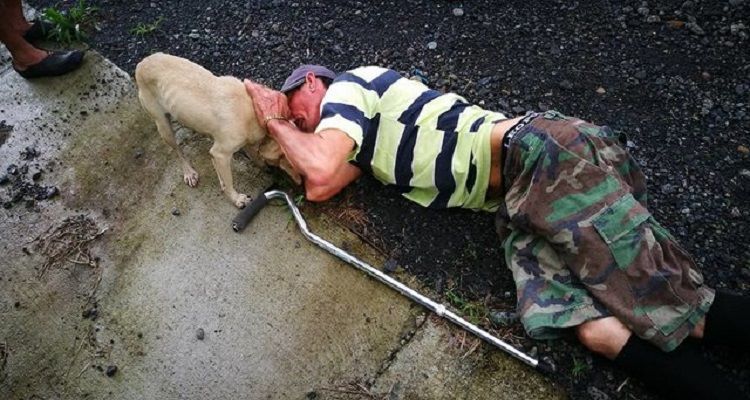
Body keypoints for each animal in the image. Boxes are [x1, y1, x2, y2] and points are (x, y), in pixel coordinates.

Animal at [135, 53, 300, 208]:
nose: (298, 185)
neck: (254, 112)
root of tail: (141, 64)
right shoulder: (221, 153)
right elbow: (229, 180)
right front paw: (236, 198)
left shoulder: (239, 144)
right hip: (163, 126)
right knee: (177, 150)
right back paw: (189, 173)